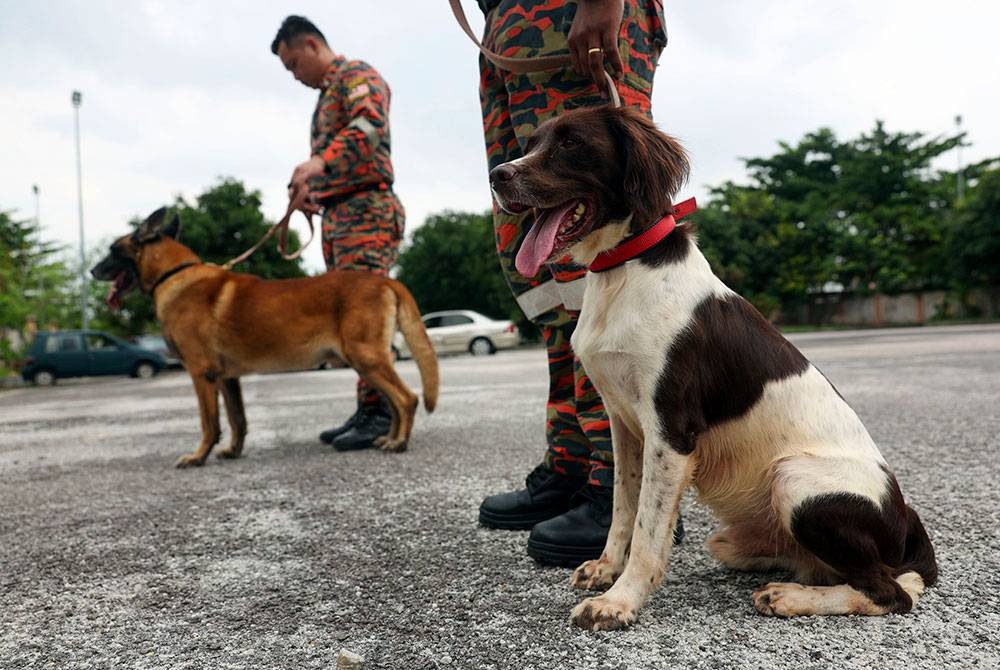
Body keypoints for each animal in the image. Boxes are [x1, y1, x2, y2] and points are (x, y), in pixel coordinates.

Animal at [91, 207, 438, 470]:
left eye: (112, 250)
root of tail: (387, 282)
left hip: (366, 358)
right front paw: (233, 451)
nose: (92, 271)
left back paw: (399, 442)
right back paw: (389, 437)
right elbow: (237, 421)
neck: (174, 274)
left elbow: (209, 423)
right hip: (365, 363)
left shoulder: (202, 374)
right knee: (395, 401)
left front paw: (198, 457)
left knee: (407, 398)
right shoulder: (227, 378)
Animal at [490, 107, 936, 632]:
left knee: (890, 591)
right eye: (532, 143)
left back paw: (790, 597)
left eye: (571, 143)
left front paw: (621, 600)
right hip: (738, 532)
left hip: (796, 481)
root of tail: (908, 523)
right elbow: (623, 506)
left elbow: (648, 530)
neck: (626, 269)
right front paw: (607, 568)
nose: (497, 176)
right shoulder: (623, 422)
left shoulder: (671, 432)